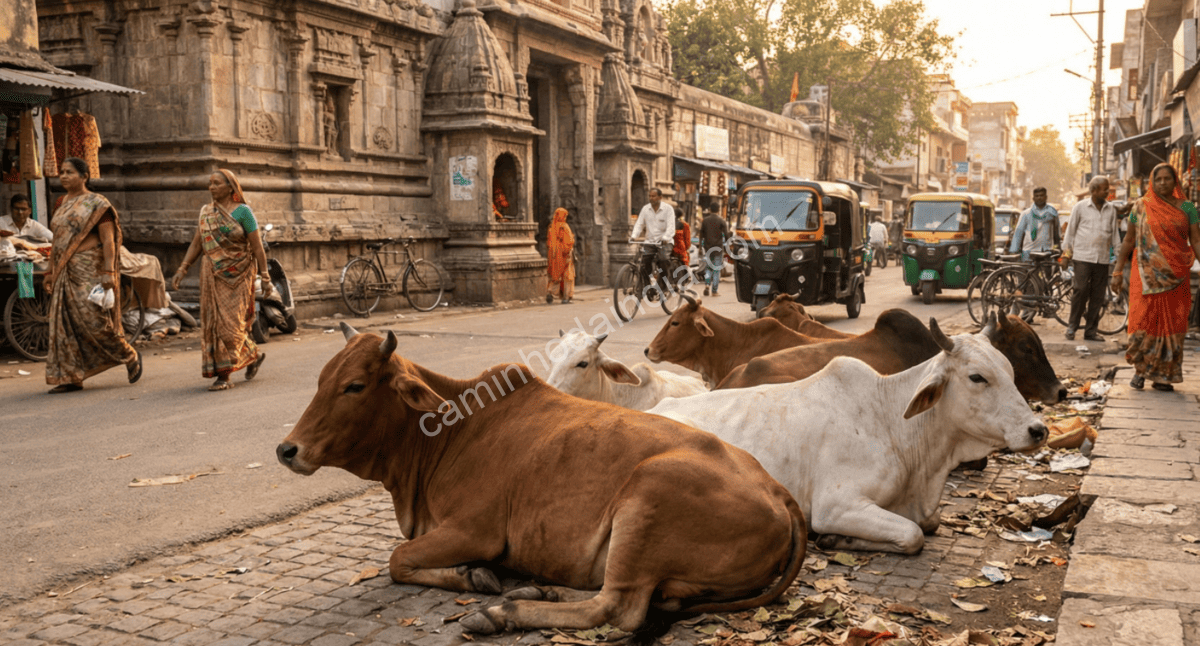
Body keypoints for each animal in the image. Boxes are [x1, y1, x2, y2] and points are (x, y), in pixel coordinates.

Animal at [648, 318, 1048, 554]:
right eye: (977, 377)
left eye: (1011, 370)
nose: (1038, 430)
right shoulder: (837, 505)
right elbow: (913, 535)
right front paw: (835, 538)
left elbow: (928, 524)